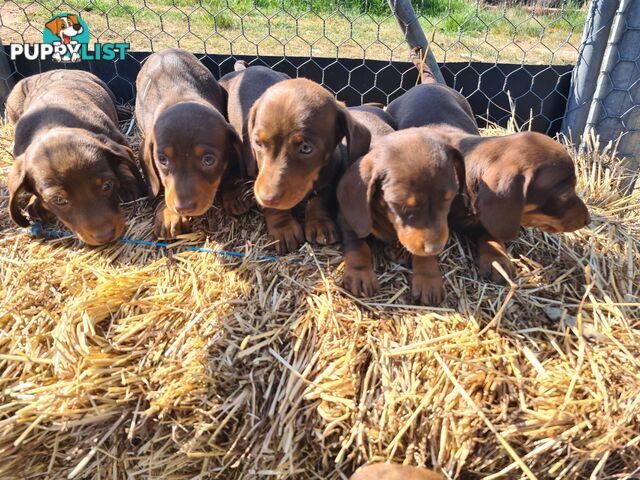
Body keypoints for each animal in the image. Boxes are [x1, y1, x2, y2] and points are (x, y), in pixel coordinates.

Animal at [5, 69, 145, 246]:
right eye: (59, 200)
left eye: (107, 186)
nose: (104, 236)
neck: (52, 125)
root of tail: (46, 72)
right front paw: (35, 203)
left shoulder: (116, 138)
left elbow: (123, 163)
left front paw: (128, 184)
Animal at [136, 47, 244, 238]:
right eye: (162, 160)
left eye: (208, 160)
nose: (183, 208)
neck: (181, 98)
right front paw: (168, 214)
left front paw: (234, 193)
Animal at [248, 77, 372, 253]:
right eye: (258, 143)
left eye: (306, 148)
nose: (267, 198)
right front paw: (283, 227)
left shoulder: (331, 174)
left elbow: (320, 199)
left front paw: (320, 223)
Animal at [338, 127, 462, 306]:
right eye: (402, 205)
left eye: (449, 197)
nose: (435, 248)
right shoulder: (349, 216)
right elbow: (356, 241)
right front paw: (359, 272)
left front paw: (428, 277)